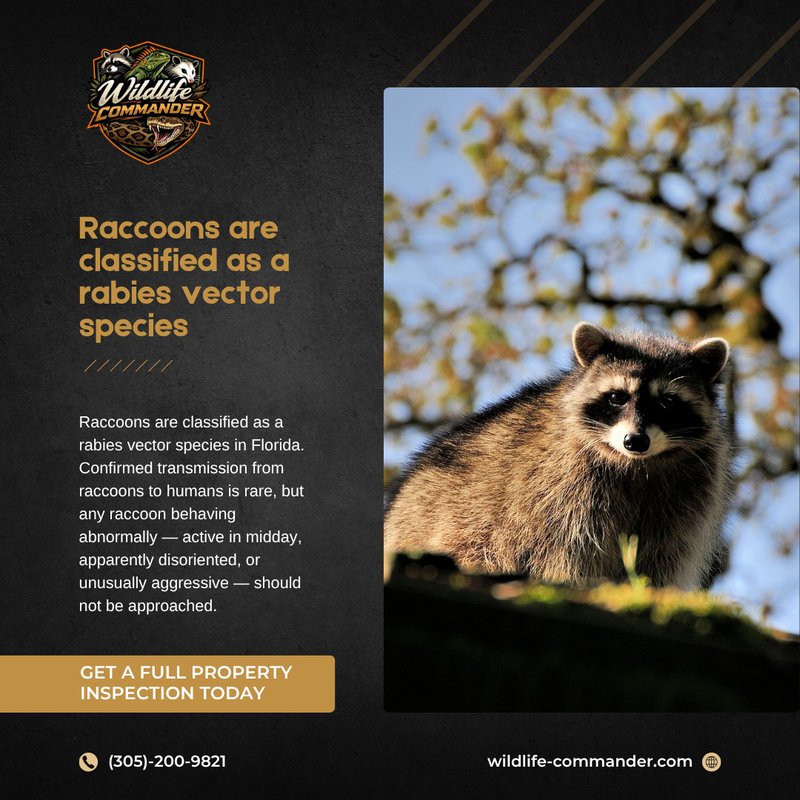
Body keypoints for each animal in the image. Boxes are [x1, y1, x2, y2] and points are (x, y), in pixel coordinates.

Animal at [384, 322, 735, 590]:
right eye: (617, 397)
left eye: (667, 402)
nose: (635, 441)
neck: (636, 465)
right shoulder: (558, 492)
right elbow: (567, 551)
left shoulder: (685, 502)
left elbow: (662, 557)